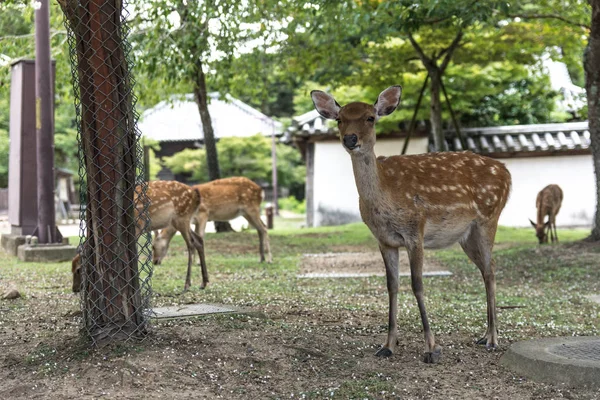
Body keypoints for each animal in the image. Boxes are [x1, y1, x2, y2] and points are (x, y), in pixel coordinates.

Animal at [71, 181, 209, 294]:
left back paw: (187, 284)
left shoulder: (138, 225)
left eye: (78, 269)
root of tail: (196, 195)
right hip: (180, 220)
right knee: (199, 240)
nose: (74, 289)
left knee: (191, 244)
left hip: (182, 216)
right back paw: (204, 282)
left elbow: (134, 253)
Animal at [312, 86, 512, 362]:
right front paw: (388, 345)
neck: (385, 195)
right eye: (339, 119)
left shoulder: (415, 230)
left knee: (491, 270)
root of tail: (507, 173)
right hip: (466, 235)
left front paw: (431, 348)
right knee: (486, 268)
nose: (350, 139)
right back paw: (484, 335)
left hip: (488, 217)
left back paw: (492, 339)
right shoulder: (384, 240)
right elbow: (392, 286)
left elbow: (417, 285)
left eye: (370, 118)